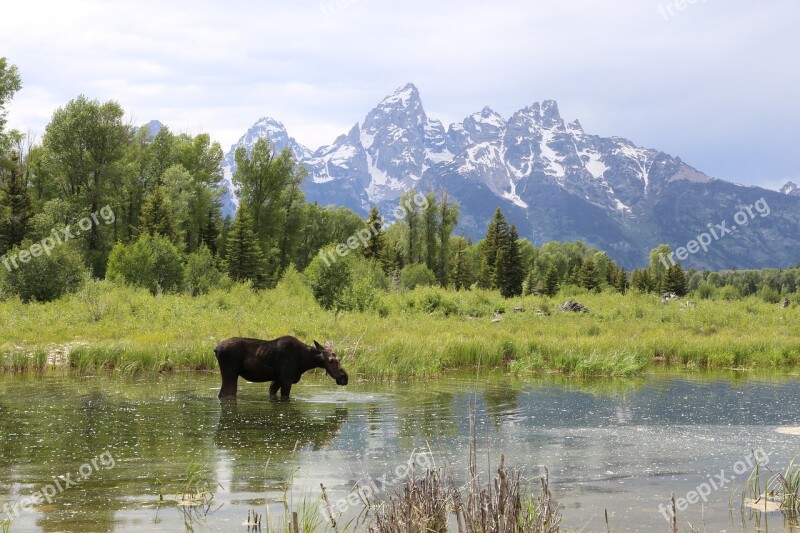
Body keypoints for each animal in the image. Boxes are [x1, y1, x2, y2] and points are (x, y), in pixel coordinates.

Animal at [214, 334, 348, 396]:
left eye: (339, 358)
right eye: (331, 360)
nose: (344, 377)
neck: (305, 362)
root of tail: (215, 349)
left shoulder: (277, 380)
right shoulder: (286, 379)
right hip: (230, 373)